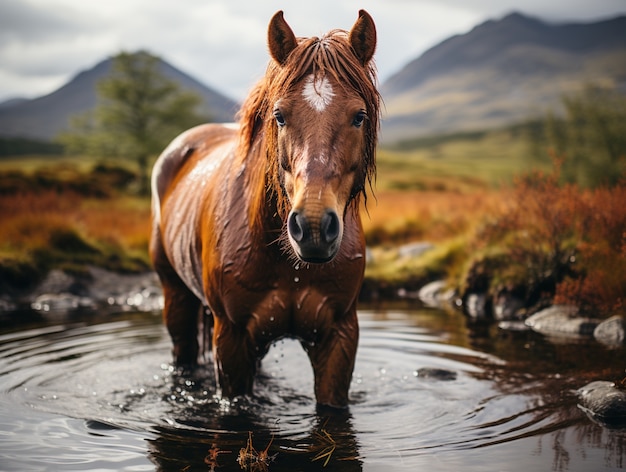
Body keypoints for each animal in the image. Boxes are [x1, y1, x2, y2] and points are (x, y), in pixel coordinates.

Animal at [150, 11, 380, 410]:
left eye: (359, 116)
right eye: (280, 115)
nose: (314, 227)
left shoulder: (339, 337)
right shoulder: (231, 340)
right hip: (176, 297)